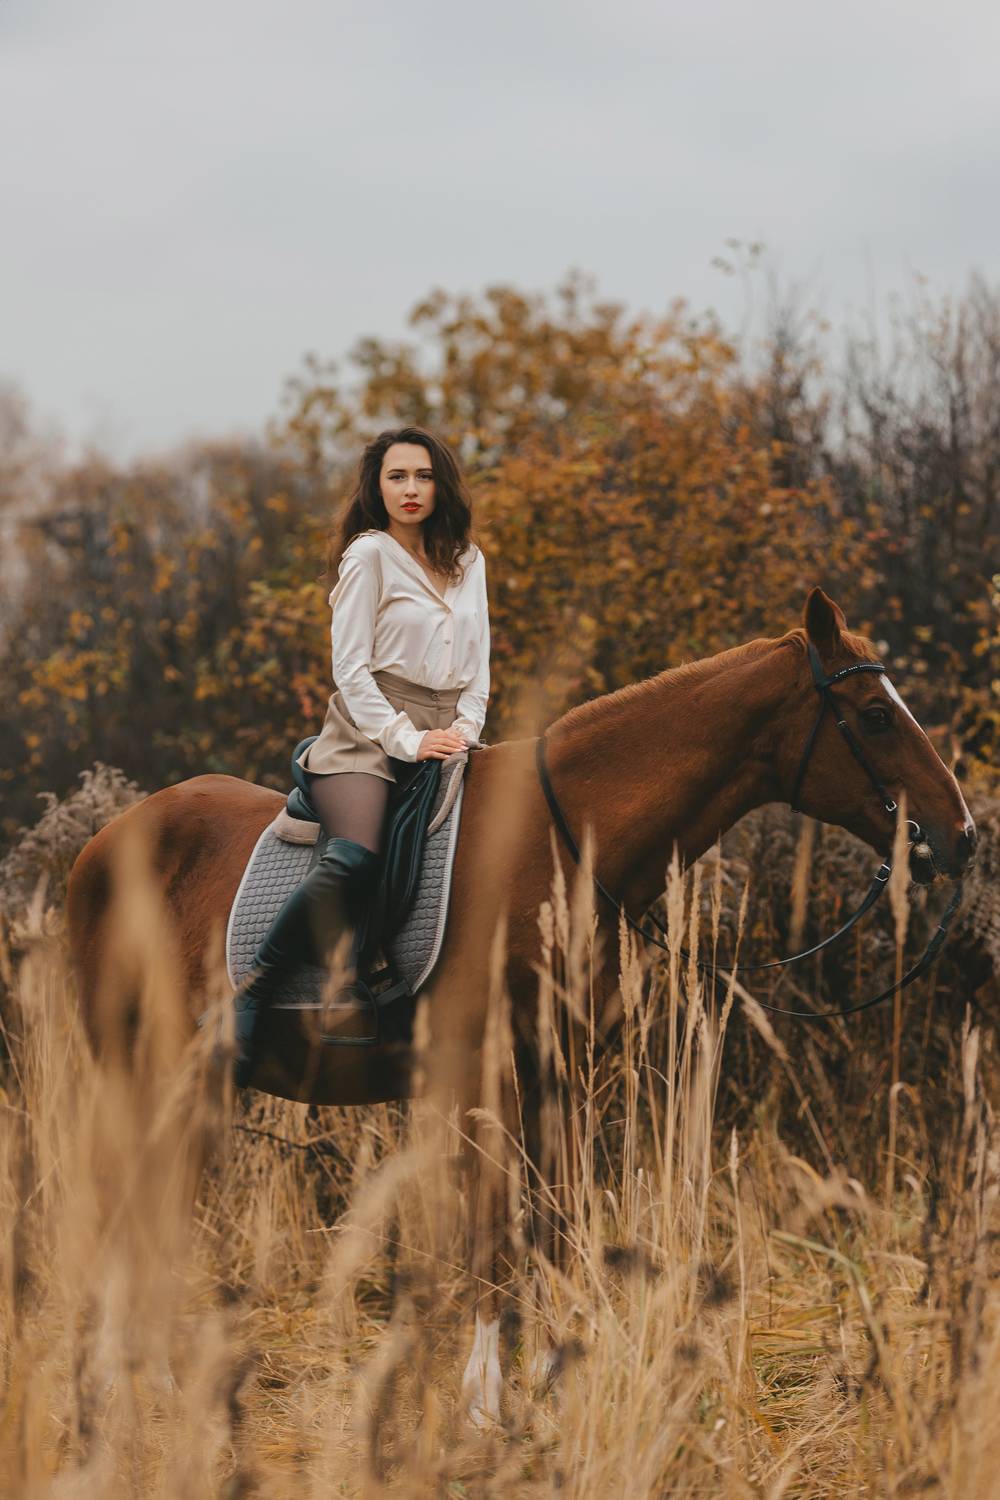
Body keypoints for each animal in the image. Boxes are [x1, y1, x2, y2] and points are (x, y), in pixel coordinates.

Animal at [65, 589, 976, 1423]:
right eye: (874, 717)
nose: (963, 835)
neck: (562, 846)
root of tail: (106, 843)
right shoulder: (485, 1074)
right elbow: (496, 1230)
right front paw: (483, 1398)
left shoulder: (558, 1074)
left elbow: (557, 1223)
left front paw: (551, 1378)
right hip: (139, 1068)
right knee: (121, 1202)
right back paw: (119, 1381)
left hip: (196, 1082)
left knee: (156, 1203)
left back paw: (157, 1378)